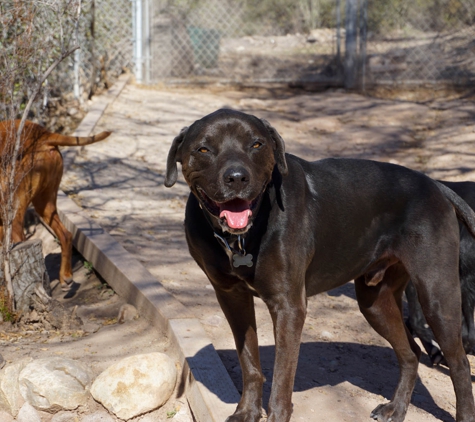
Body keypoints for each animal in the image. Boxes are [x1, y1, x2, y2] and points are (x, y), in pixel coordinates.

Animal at [0, 120, 111, 288]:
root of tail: (44, 134)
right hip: (44, 203)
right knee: (66, 234)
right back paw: (66, 276)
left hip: (13, 205)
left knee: (20, 238)